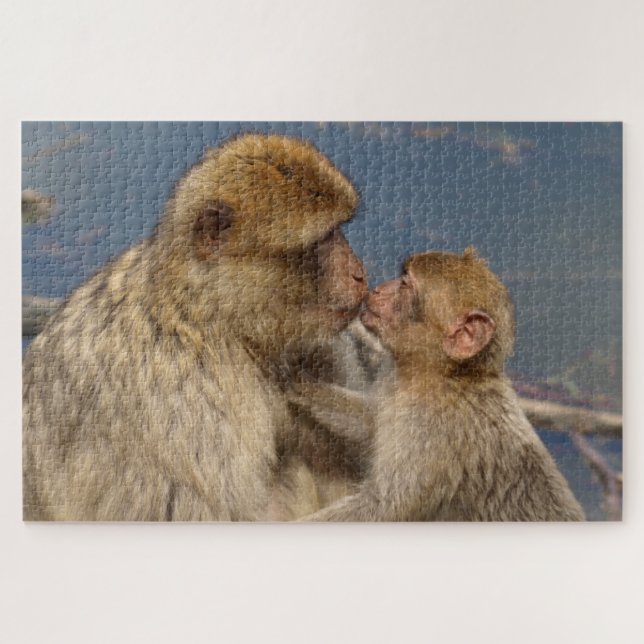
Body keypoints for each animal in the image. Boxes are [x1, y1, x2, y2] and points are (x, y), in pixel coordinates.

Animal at [301, 248, 586, 521]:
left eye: (405, 283)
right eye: (402, 276)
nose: (378, 288)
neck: (445, 376)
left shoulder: (435, 428)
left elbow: (385, 507)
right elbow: (371, 423)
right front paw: (300, 386)